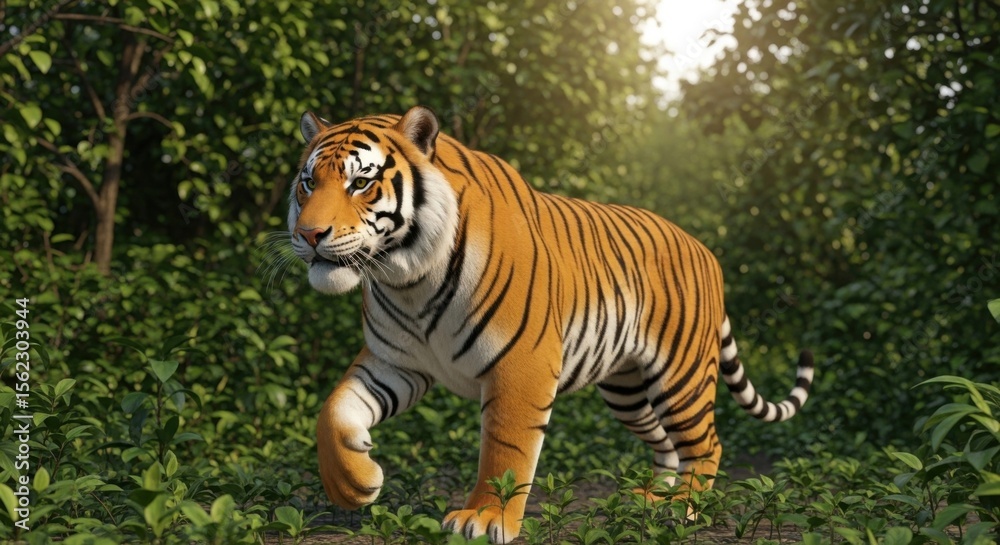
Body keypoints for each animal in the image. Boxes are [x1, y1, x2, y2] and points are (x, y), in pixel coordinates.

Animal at [287, 106, 814, 544]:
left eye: (360, 183)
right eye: (308, 183)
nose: (308, 234)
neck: (407, 278)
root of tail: (707, 251)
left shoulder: (521, 365)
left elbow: (505, 448)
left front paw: (484, 520)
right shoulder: (394, 362)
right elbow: (333, 411)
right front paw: (353, 484)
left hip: (679, 377)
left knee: (706, 445)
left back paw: (681, 508)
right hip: (626, 391)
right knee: (667, 443)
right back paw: (649, 498)